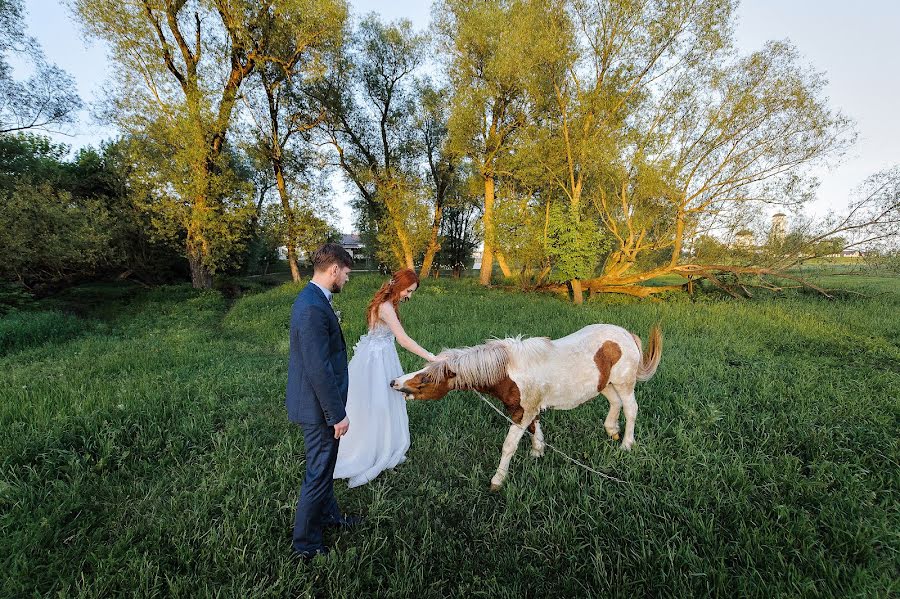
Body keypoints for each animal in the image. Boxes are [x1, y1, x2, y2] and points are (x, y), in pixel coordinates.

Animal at [392, 326, 660, 490]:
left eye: (426, 379)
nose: (394, 382)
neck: (508, 371)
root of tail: (626, 334)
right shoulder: (528, 409)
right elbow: (534, 427)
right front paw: (537, 451)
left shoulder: (523, 412)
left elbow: (509, 445)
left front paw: (498, 480)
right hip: (605, 384)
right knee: (615, 403)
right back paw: (612, 430)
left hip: (625, 384)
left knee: (631, 409)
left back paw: (626, 444)